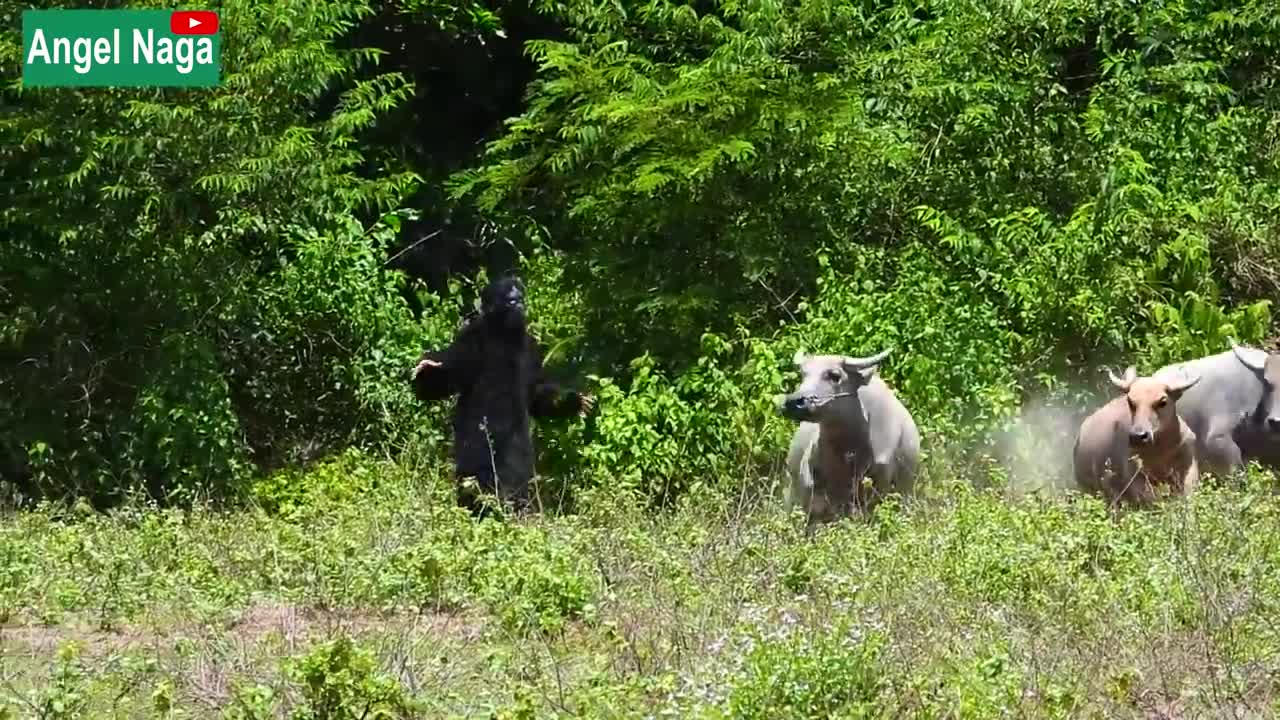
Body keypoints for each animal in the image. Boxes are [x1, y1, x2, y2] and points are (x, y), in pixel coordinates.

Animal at [1075, 361, 1203, 507]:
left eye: (1163, 402)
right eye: (1130, 401)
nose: (1138, 436)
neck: (1159, 452)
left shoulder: (1188, 466)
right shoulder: (1135, 476)